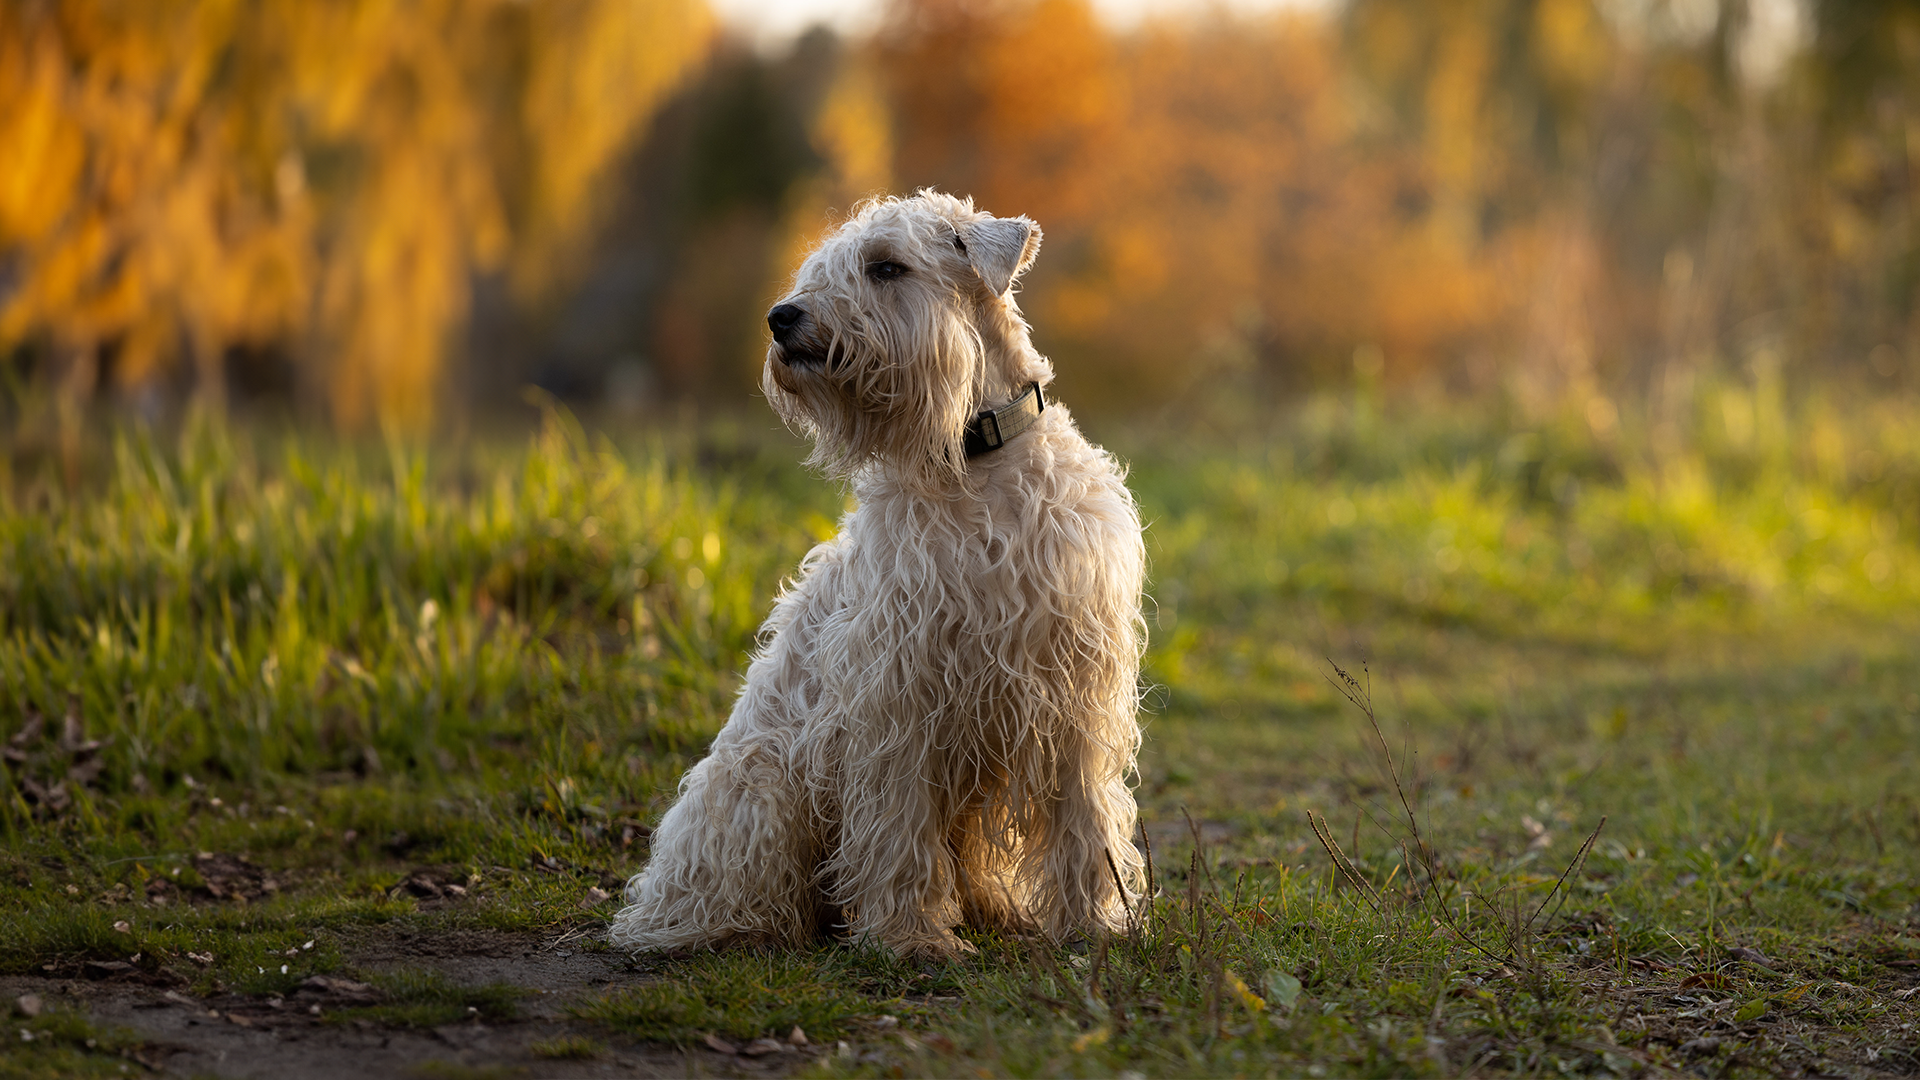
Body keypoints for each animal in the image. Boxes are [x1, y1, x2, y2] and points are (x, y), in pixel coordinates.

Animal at [614, 189, 1144, 953]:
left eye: (886, 266)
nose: (780, 317)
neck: (974, 461)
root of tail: (655, 899)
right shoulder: (897, 688)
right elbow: (898, 823)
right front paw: (910, 936)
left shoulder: (1073, 682)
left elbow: (1085, 815)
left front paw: (1096, 923)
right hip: (763, 788)